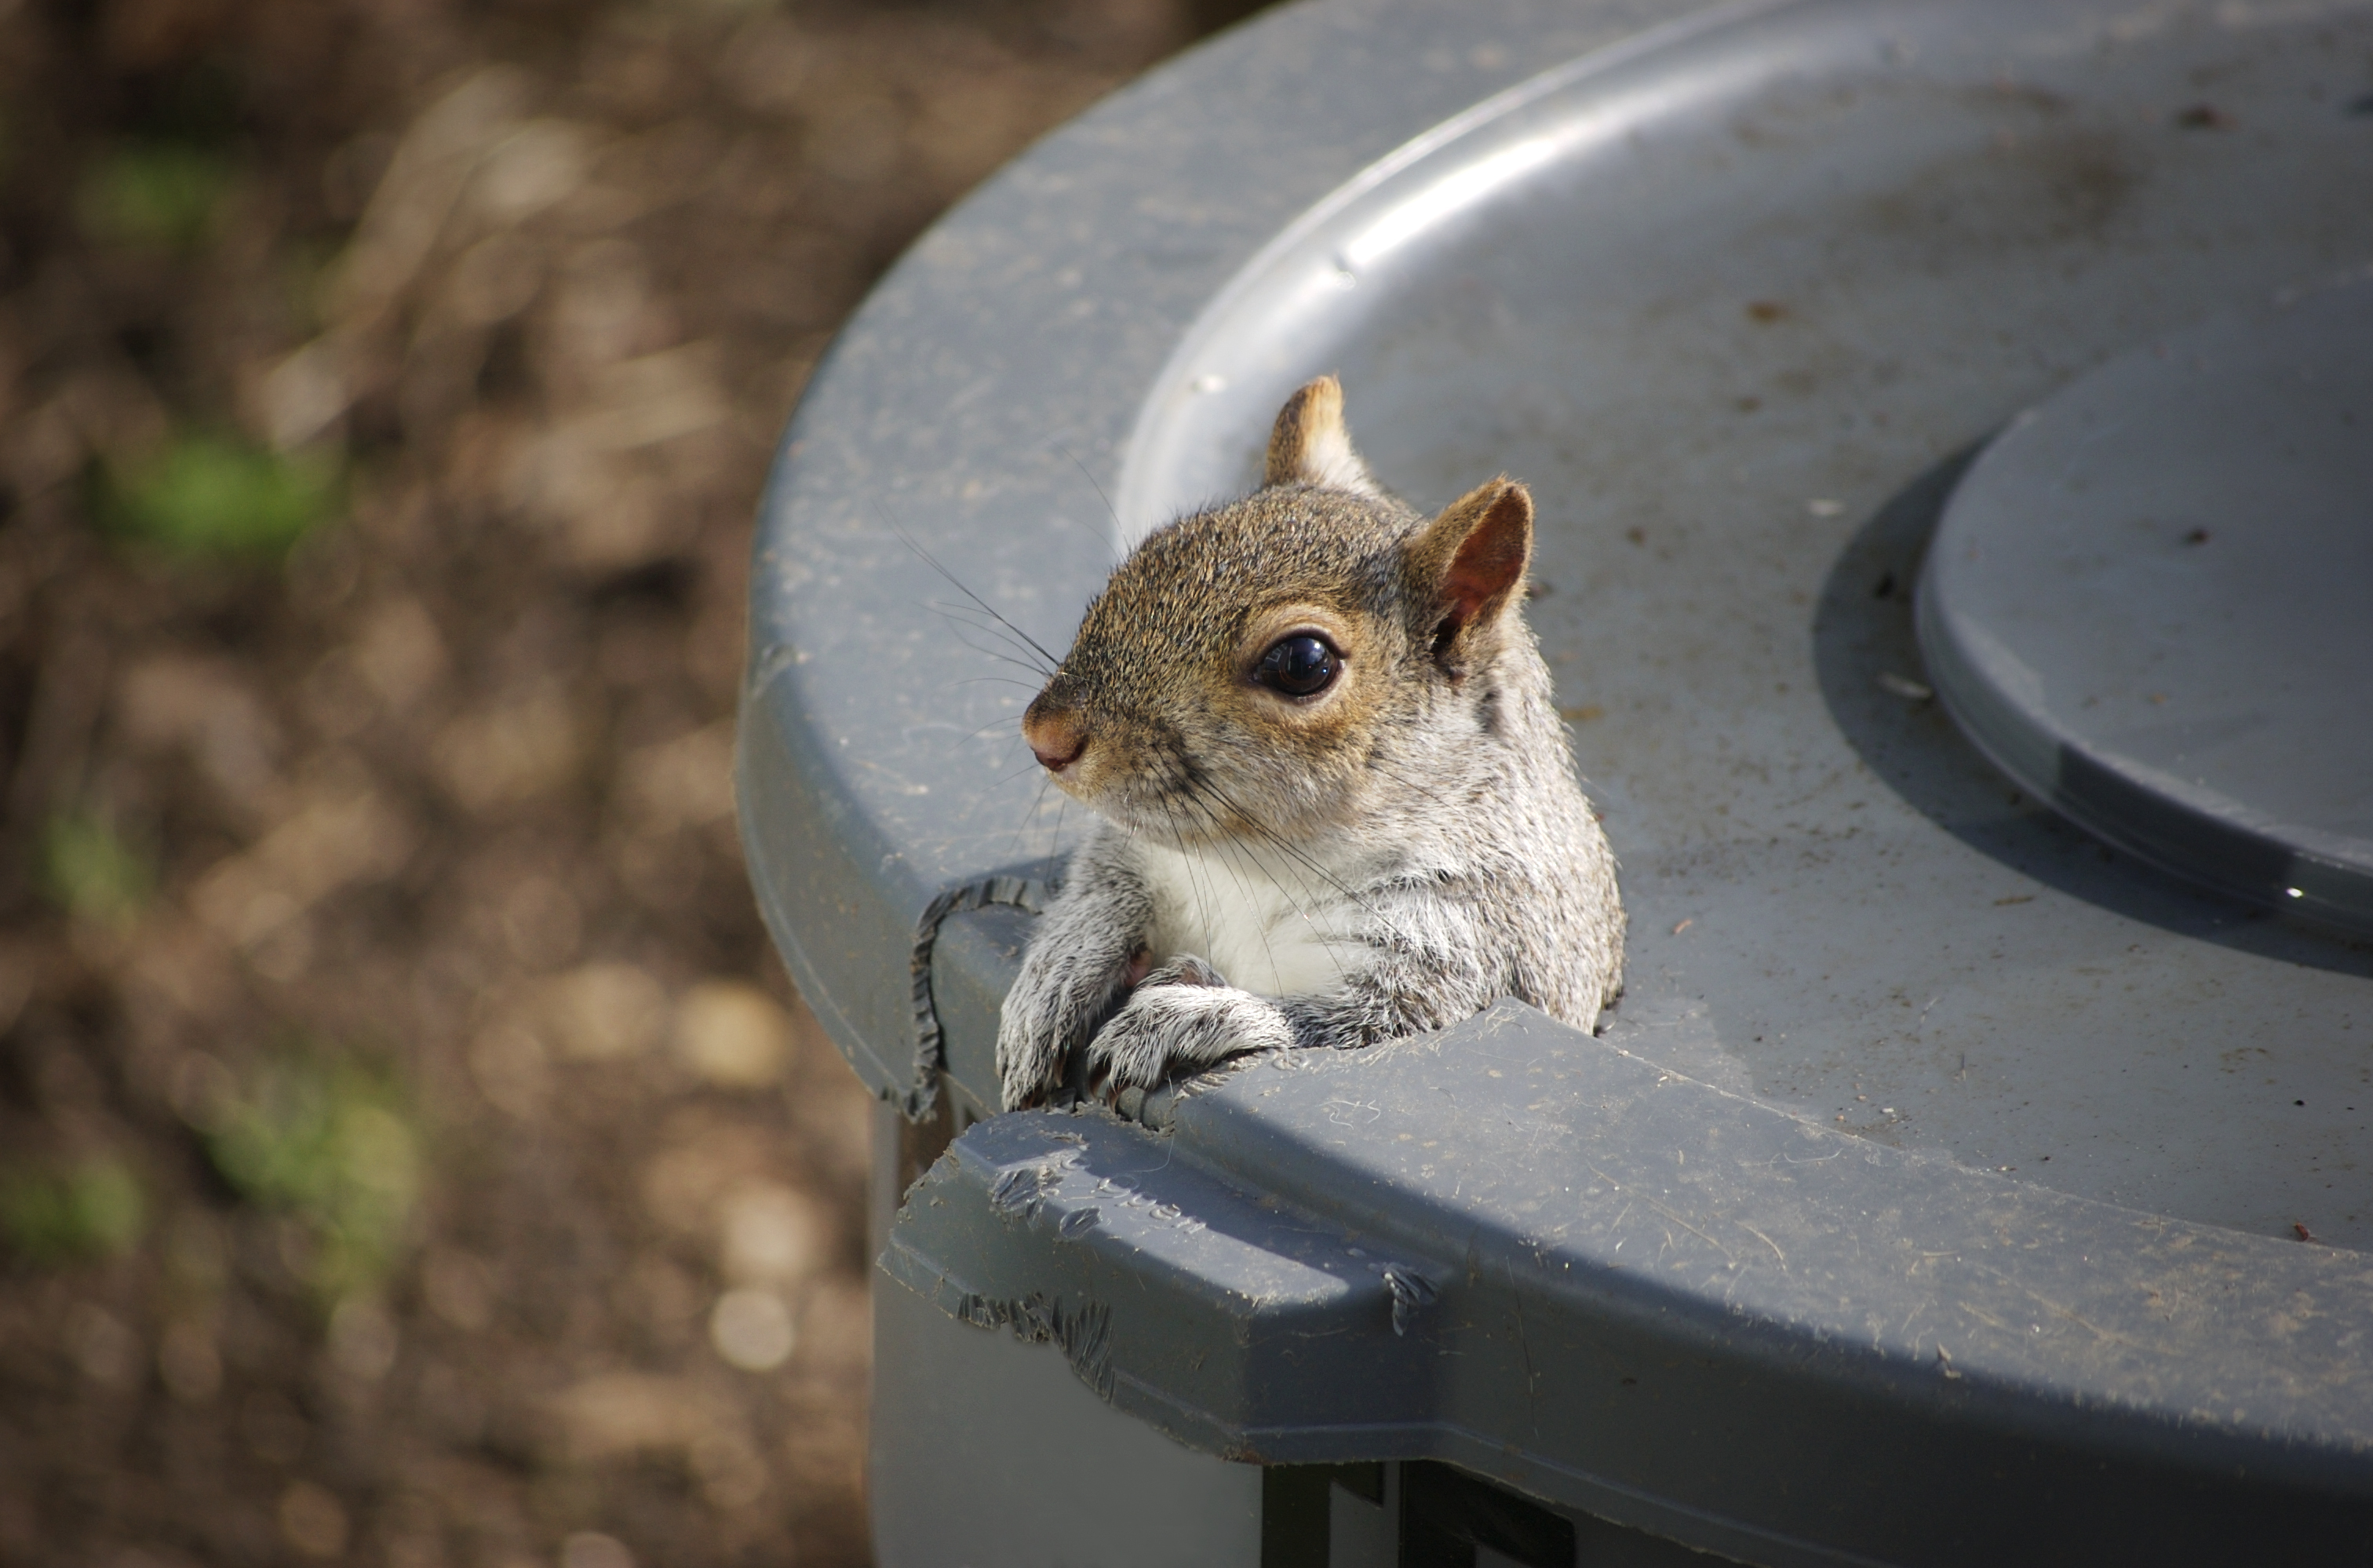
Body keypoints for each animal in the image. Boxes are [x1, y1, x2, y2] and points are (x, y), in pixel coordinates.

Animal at [992, 377, 1623, 1114]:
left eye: (1302, 663)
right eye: (1148, 556)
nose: (1046, 736)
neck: (1257, 872)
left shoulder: (1470, 956)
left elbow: (1352, 1031)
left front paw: (1192, 1016)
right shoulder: (1141, 856)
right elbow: (1101, 886)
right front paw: (1056, 973)